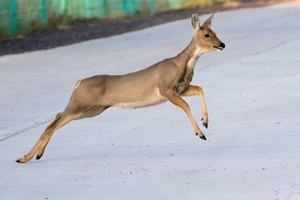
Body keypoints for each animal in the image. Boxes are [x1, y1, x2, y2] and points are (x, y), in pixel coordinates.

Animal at [15, 12, 224, 163]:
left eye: (215, 33)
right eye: (207, 35)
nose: (222, 44)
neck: (182, 66)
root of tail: (78, 83)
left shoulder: (181, 88)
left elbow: (200, 88)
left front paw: (205, 121)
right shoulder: (166, 89)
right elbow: (186, 106)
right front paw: (201, 134)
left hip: (93, 109)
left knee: (57, 117)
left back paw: (36, 155)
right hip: (81, 103)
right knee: (52, 124)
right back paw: (24, 158)